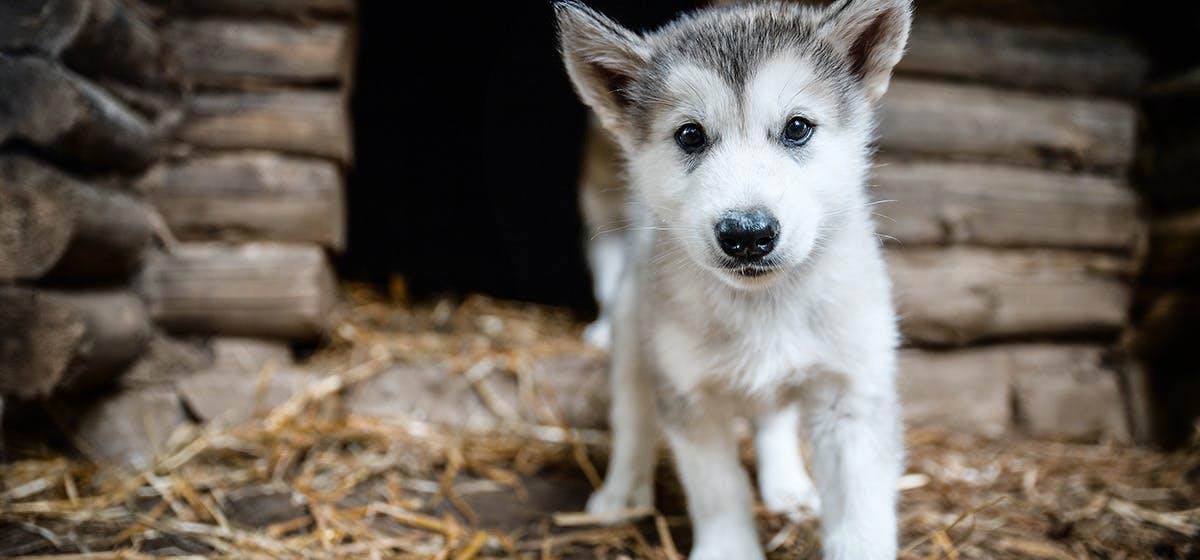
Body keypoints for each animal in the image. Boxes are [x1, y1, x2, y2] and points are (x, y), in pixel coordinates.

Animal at [556, 2, 912, 558]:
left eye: (797, 128)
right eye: (690, 135)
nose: (747, 235)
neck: (761, 309)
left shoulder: (851, 392)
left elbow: (860, 513)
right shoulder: (690, 397)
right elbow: (719, 490)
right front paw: (729, 547)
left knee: (773, 421)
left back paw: (788, 486)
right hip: (636, 335)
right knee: (632, 415)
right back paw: (621, 493)